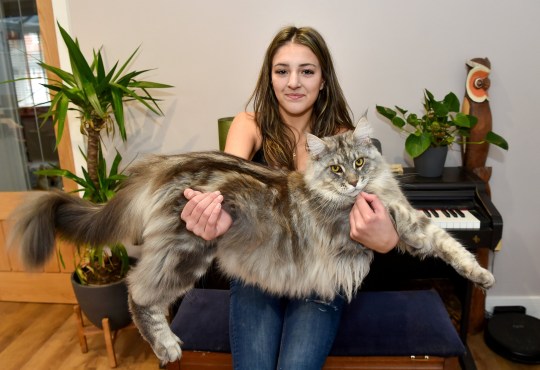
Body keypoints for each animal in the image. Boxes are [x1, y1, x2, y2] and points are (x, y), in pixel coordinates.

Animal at [11, 117, 494, 362]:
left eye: (359, 162)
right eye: (337, 169)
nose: (355, 182)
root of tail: (167, 165)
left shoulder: (405, 222)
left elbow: (446, 243)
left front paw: (480, 276)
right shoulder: (385, 224)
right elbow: (439, 242)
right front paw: (481, 274)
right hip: (186, 252)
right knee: (136, 292)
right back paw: (166, 345)